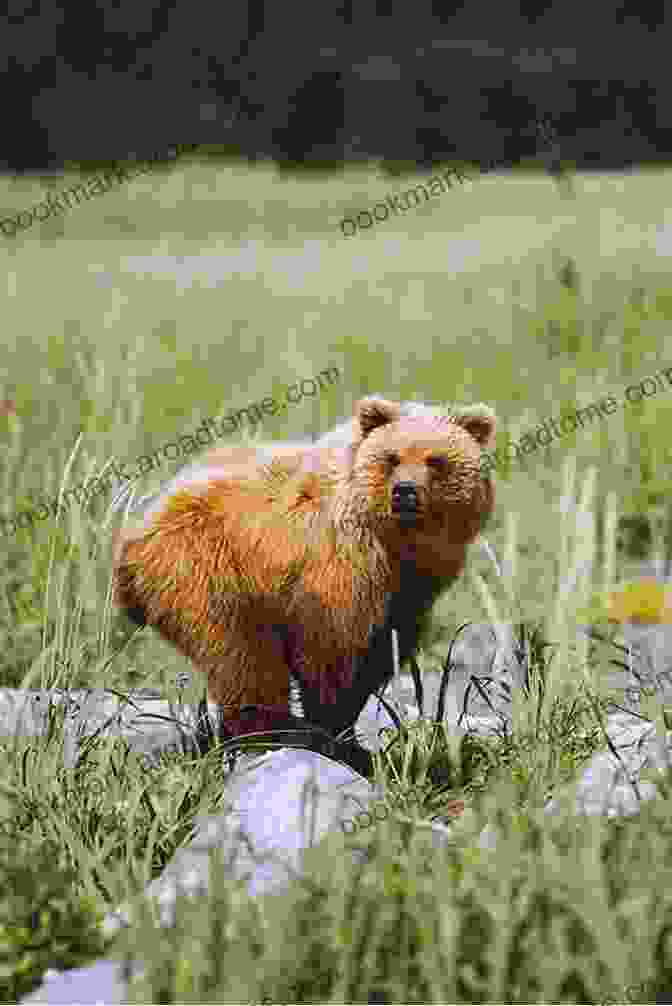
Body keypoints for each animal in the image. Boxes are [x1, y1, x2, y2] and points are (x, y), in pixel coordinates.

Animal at [112, 398, 496, 748]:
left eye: (435, 460)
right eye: (392, 458)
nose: (405, 491)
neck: (397, 541)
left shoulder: (409, 589)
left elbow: (381, 649)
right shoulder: (337, 562)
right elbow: (328, 644)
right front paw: (333, 727)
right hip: (201, 567)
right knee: (241, 655)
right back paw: (268, 729)